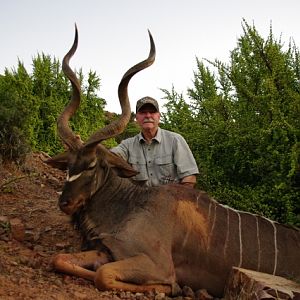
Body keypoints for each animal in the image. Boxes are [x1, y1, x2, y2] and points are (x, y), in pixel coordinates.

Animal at [46, 26, 300, 298]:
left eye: (92, 165)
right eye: (69, 165)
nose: (65, 203)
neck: (128, 206)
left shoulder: (156, 264)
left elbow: (104, 276)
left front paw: (172, 287)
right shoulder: (108, 251)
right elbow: (60, 259)